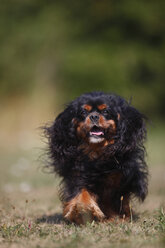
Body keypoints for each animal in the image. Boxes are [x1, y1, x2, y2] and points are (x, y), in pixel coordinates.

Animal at [44, 92, 148, 224]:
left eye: (105, 111)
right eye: (83, 112)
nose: (94, 116)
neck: (97, 151)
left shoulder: (120, 179)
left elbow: (116, 199)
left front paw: (116, 217)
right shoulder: (78, 176)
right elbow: (82, 194)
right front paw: (84, 210)